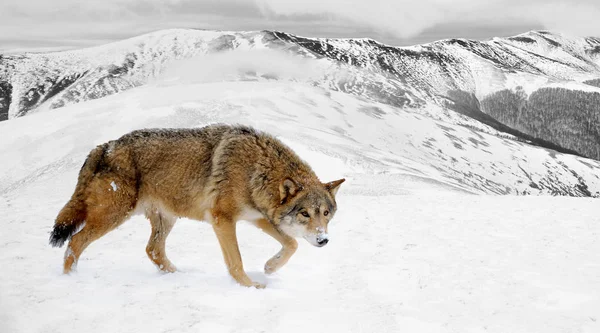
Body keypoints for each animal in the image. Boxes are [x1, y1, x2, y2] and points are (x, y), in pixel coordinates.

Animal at [49, 123, 344, 286]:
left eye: (325, 213)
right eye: (304, 213)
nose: (324, 240)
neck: (257, 170)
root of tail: (103, 146)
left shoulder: (257, 217)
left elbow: (292, 244)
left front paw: (270, 267)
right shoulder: (222, 219)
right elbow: (236, 262)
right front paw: (250, 286)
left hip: (165, 219)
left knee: (153, 250)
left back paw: (179, 275)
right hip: (114, 216)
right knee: (75, 241)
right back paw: (70, 280)